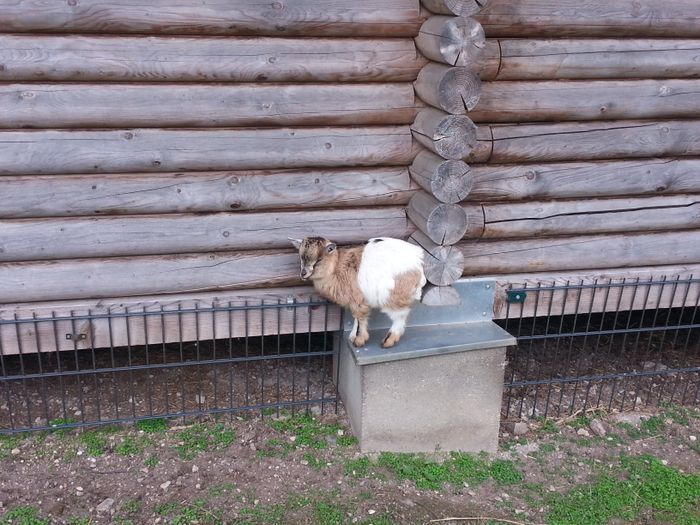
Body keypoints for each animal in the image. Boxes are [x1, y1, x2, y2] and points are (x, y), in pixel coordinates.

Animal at [288, 235, 424, 346]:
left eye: (319, 260)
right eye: (301, 257)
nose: (303, 273)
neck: (336, 267)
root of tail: (419, 266)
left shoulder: (358, 300)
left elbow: (360, 318)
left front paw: (359, 340)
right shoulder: (356, 300)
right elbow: (356, 319)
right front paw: (353, 336)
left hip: (393, 296)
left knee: (401, 314)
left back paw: (389, 341)